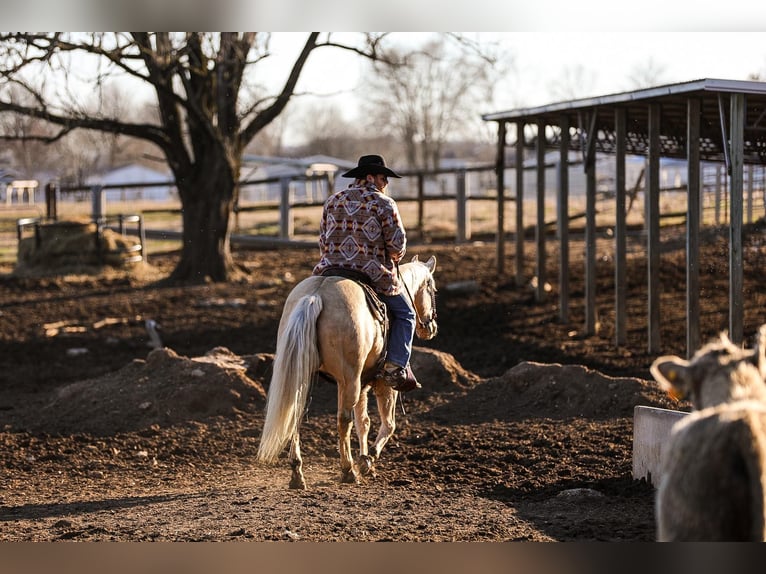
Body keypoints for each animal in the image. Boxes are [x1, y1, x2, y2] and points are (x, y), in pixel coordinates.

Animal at [256, 256, 438, 490]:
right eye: (432, 288)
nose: (431, 327)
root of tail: (315, 295)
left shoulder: (363, 383)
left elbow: (364, 422)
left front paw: (365, 459)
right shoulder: (383, 383)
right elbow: (388, 424)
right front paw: (368, 460)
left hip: (304, 375)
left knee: (295, 415)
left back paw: (297, 473)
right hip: (349, 379)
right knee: (344, 420)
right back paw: (348, 470)